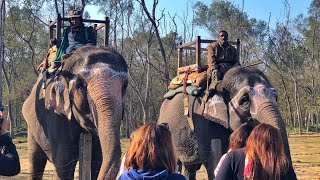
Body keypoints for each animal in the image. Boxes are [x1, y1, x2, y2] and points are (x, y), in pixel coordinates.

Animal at [22, 45, 128, 179]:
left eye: (125, 85)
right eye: (81, 85)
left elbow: (97, 162)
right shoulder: (56, 117)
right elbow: (63, 164)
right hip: (32, 127)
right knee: (36, 160)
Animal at [159, 66, 296, 180]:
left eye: (276, 97)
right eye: (244, 100)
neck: (220, 83)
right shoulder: (202, 121)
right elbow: (213, 160)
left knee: (191, 167)